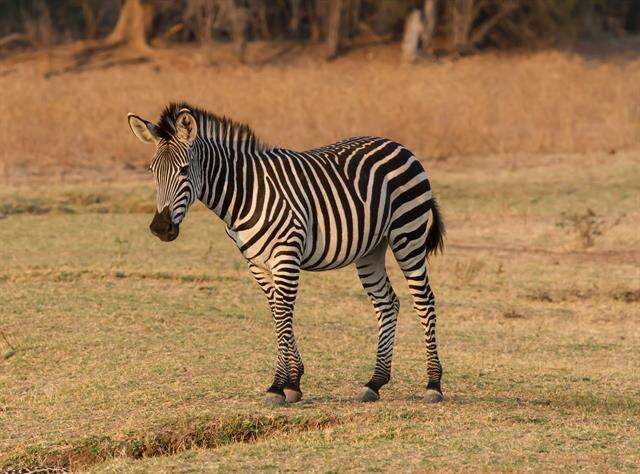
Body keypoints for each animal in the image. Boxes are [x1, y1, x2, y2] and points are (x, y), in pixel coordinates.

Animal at [125, 102, 444, 406]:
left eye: (183, 170)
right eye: (152, 172)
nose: (161, 228)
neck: (244, 194)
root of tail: (397, 144)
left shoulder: (286, 255)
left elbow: (283, 312)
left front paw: (278, 386)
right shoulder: (256, 263)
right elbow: (277, 312)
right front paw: (293, 382)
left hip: (407, 234)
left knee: (424, 300)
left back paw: (433, 384)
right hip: (371, 249)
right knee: (386, 303)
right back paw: (374, 382)